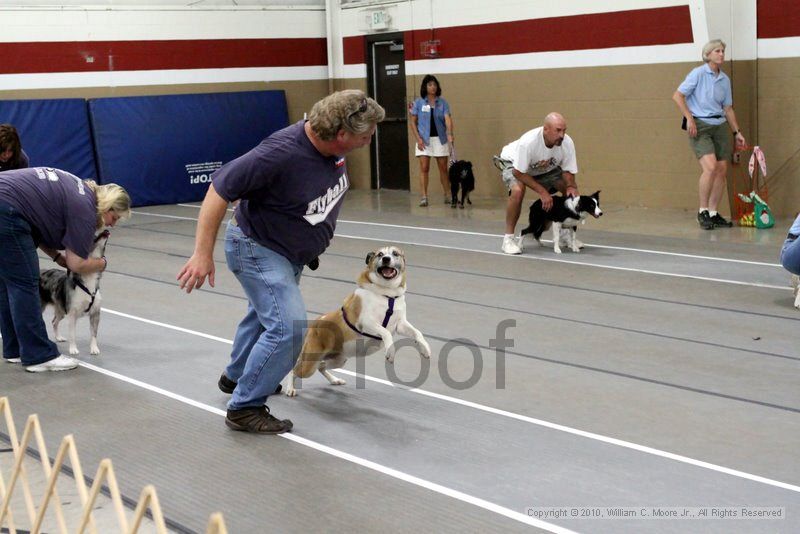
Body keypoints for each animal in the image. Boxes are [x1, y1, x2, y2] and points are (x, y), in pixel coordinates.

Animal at [284, 247, 428, 398]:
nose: (386, 259)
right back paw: (290, 389)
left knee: (321, 366)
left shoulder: (400, 324)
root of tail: (315, 323)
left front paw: (425, 349)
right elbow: (386, 332)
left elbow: (417, 333)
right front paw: (390, 351)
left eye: (395, 253)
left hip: (338, 360)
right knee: (294, 369)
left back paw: (335, 380)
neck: (387, 295)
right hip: (310, 363)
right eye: (380, 254)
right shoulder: (366, 322)